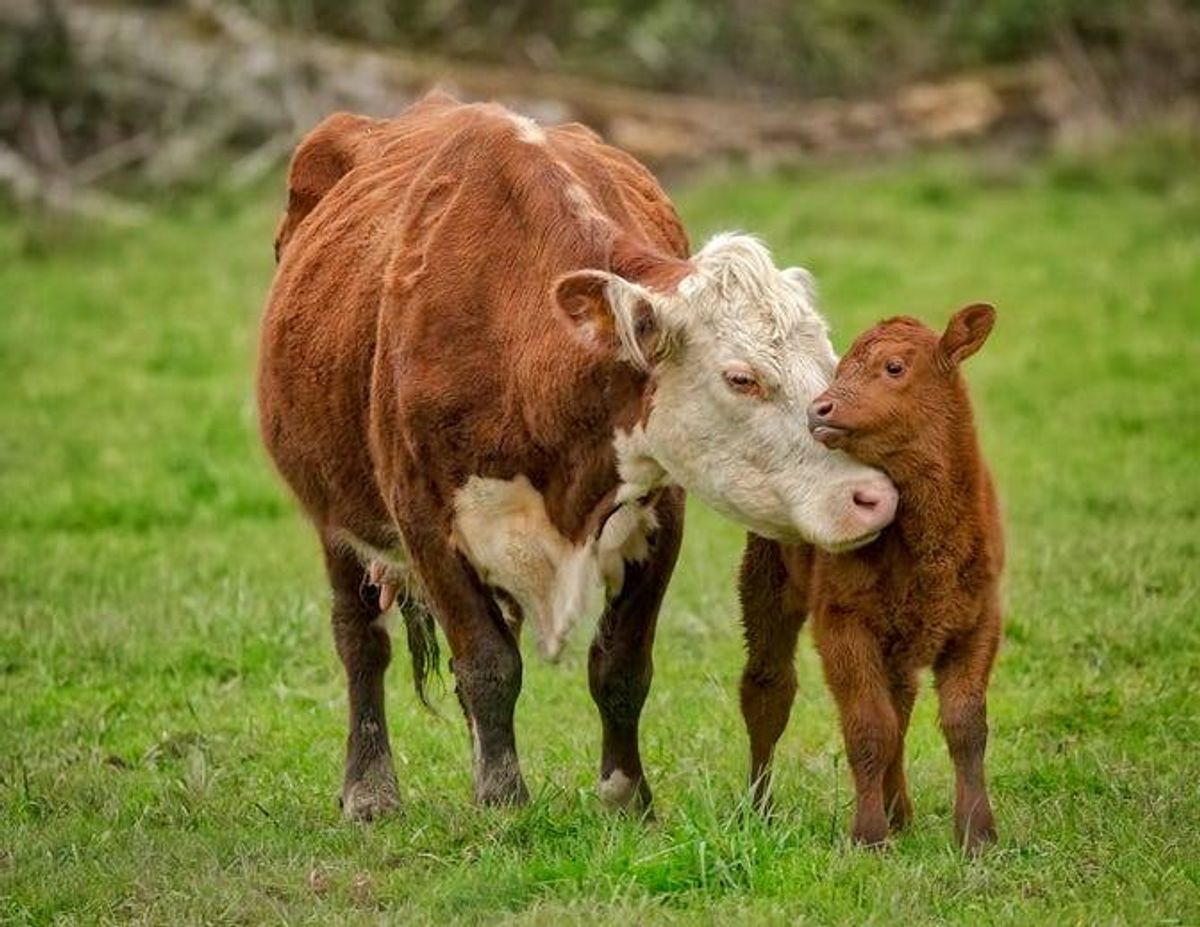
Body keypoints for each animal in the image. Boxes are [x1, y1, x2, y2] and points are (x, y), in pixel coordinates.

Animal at [257, 93, 898, 820]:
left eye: (828, 363)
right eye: (741, 377)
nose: (872, 496)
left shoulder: (661, 513)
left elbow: (618, 666)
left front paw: (625, 796)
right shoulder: (423, 518)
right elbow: (487, 664)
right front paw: (503, 800)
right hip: (335, 515)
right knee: (361, 638)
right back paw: (369, 787)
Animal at [738, 304, 1002, 852]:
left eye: (894, 367)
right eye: (838, 370)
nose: (819, 409)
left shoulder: (979, 620)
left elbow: (965, 725)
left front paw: (977, 834)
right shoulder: (842, 621)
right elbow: (868, 727)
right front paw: (868, 835)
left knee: (900, 704)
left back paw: (900, 810)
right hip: (766, 583)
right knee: (768, 690)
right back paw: (759, 811)